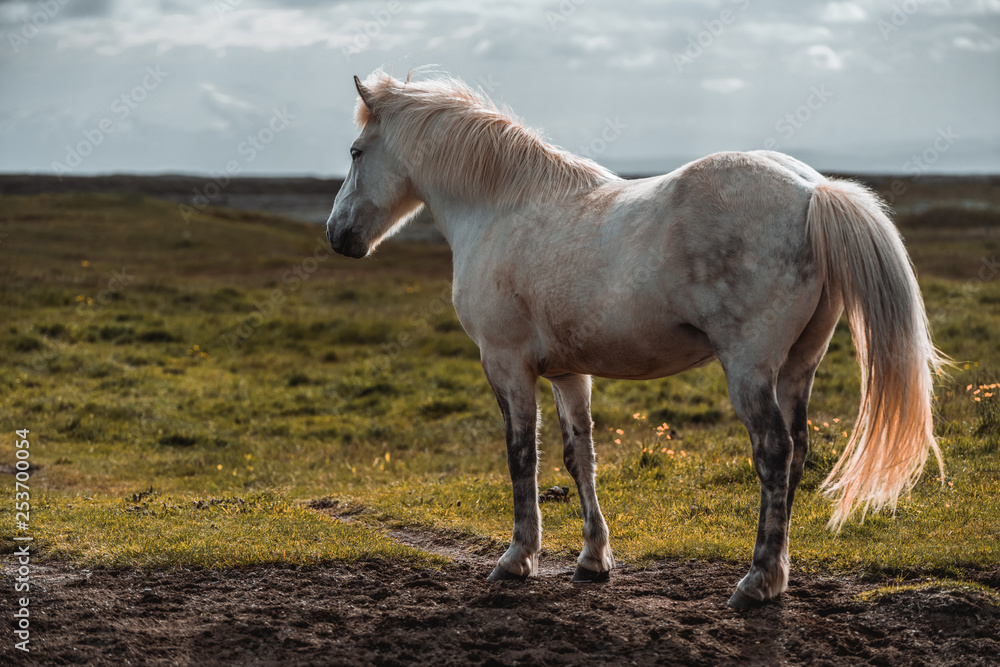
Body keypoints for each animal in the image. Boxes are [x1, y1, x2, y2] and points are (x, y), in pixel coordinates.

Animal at [324, 70, 940, 608]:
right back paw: (778, 575)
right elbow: (579, 456)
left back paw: (756, 582)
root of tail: (813, 190)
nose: (337, 236)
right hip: (797, 368)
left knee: (774, 451)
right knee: (798, 451)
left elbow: (521, 456)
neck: (500, 207)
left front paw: (518, 558)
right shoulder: (568, 372)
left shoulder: (506, 365)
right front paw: (593, 559)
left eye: (355, 152)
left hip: (750, 369)